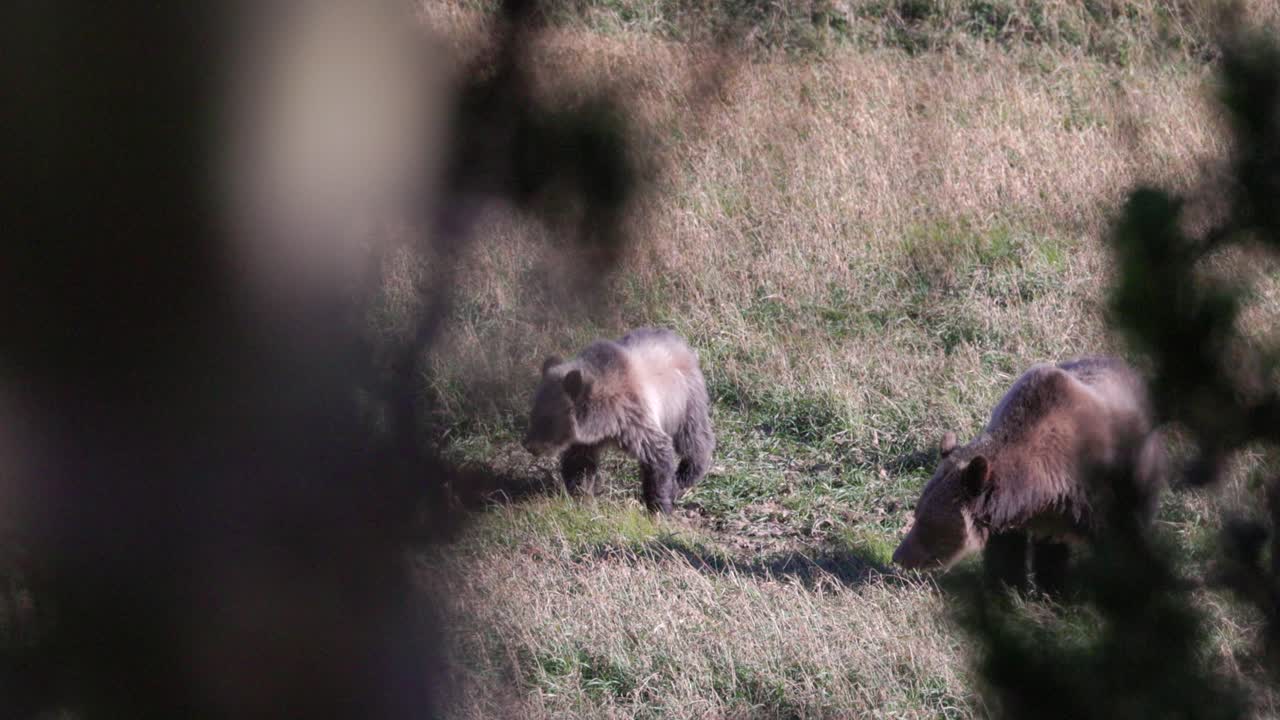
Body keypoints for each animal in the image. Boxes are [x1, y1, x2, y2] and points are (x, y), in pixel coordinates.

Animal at [522, 327, 715, 514]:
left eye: (547, 420)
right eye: (533, 413)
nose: (528, 445)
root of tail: (681, 342)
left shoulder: (634, 419)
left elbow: (657, 457)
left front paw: (660, 505)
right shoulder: (587, 439)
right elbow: (580, 464)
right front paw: (581, 496)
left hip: (684, 401)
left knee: (692, 437)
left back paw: (687, 473)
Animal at [892, 357, 1166, 594]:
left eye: (927, 522)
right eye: (917, 513)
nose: (899, 556)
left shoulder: (1099, 494)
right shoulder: (1011, 518)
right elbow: (1006, 556)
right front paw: (1008, 590)